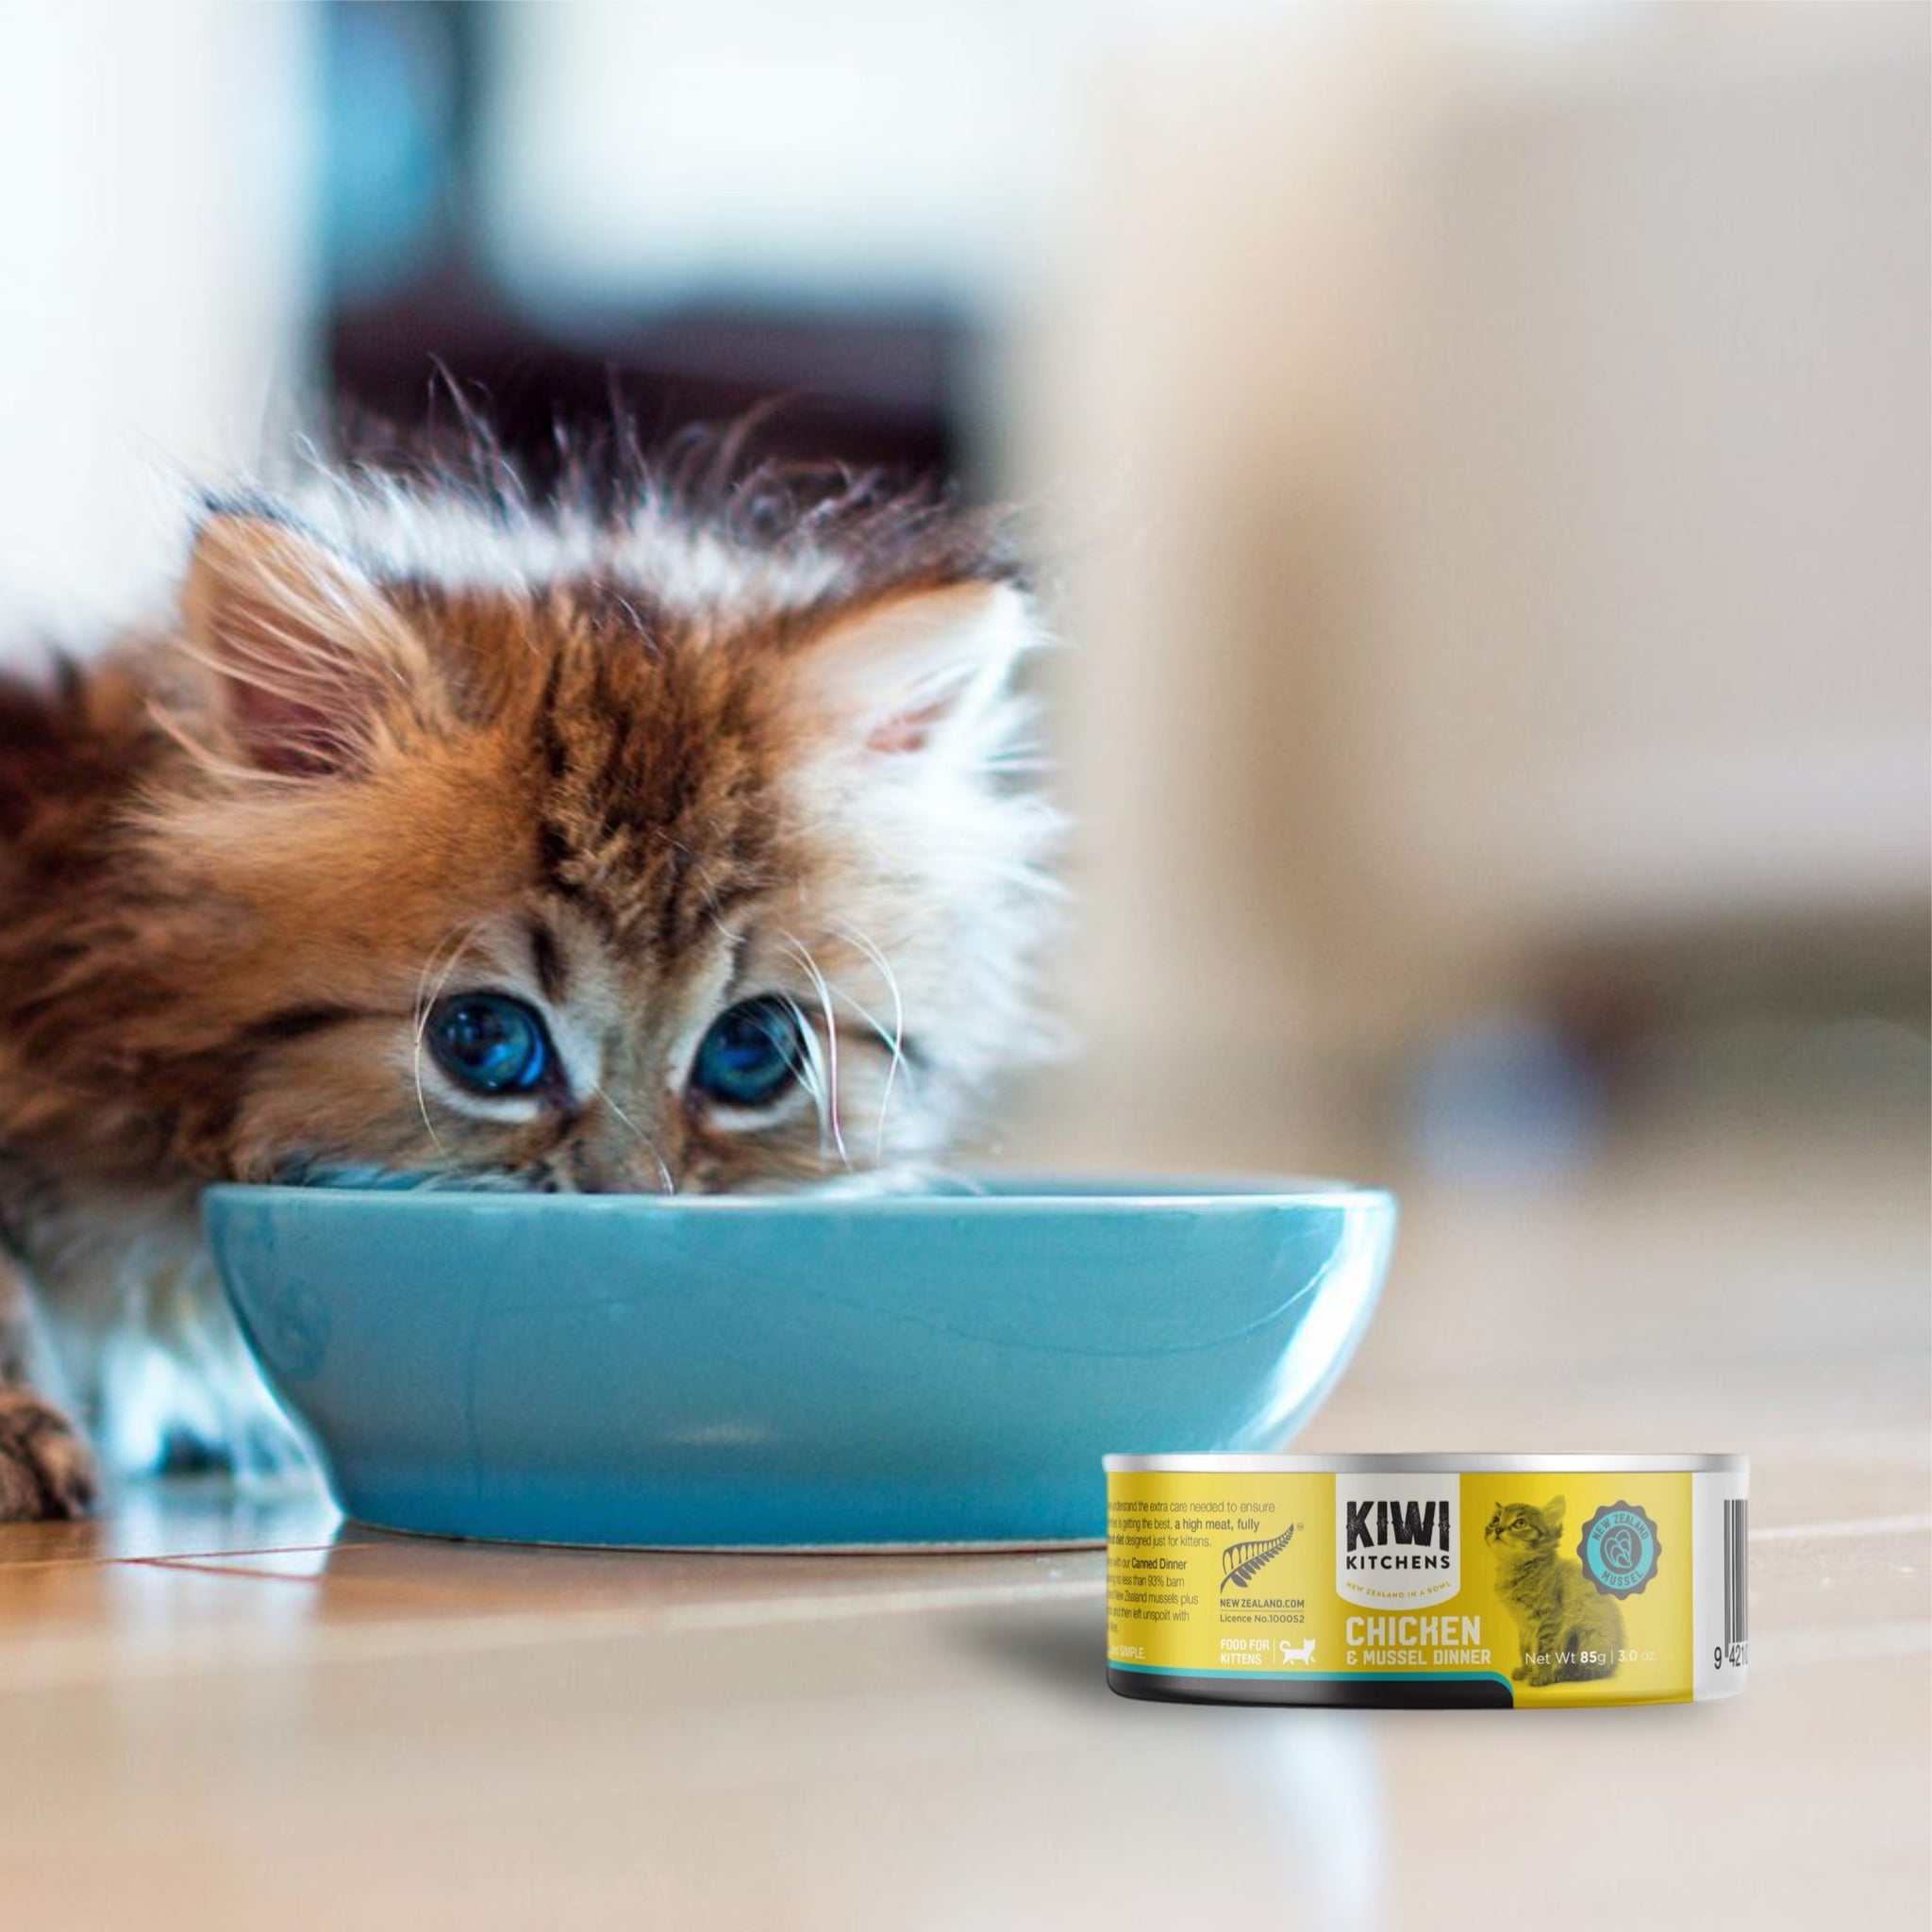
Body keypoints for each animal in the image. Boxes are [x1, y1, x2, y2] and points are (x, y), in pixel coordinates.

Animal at [1483, 1491, 1623, 1676]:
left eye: (1520, 1523)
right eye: (1495, 1520)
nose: (1498, 1529)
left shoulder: (1549, 1618)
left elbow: (1544, 1650)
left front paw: (1540, 1676)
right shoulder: (1523, 1624)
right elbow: (1525, 1649)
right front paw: (1525, 1670)